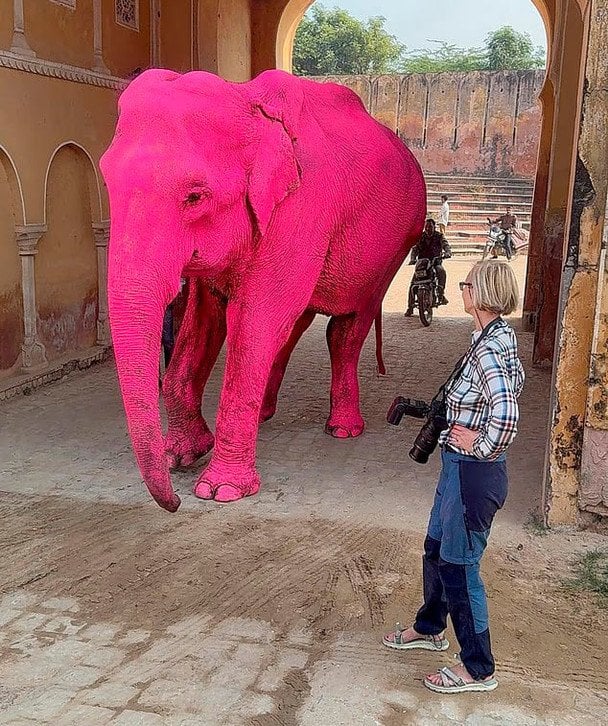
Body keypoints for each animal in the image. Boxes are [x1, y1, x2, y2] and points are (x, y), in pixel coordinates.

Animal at [100, 69, 426, 512]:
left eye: (195, 197)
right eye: (106, 181)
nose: (174, 503)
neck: (246, 99)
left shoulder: (300, 210)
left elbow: (255, 319)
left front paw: (220, 491)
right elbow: (205, 319)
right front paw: (180, 456)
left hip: (395, 247)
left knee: (346, 327)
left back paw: (343, 430)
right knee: (294, 326)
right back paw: (266, 416)